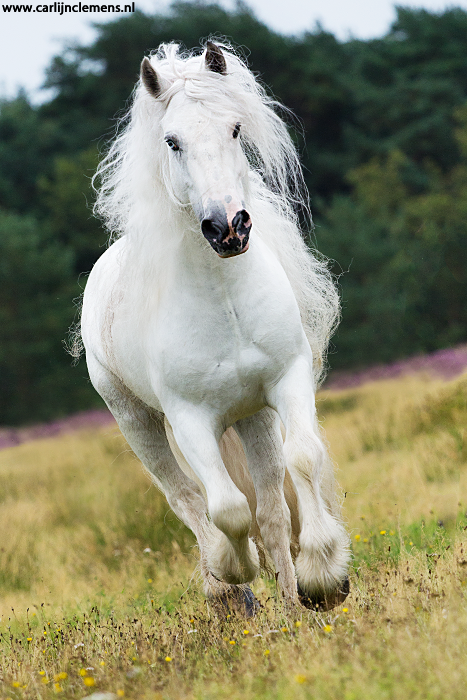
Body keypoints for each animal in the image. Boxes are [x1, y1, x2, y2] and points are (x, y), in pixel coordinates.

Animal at [81, 42, 352, 612]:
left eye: (234, 128)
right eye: (172, 141)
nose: (228, 227)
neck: (225, 300)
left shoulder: (286, 381)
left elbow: (303, 457)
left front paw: (324, 575)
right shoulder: (189, 418)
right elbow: (225, 507)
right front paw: (233, 568)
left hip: (251, 417)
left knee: (271, 512)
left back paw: (290, 603)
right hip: (137, 421)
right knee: (186, 498)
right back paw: (228, 591)